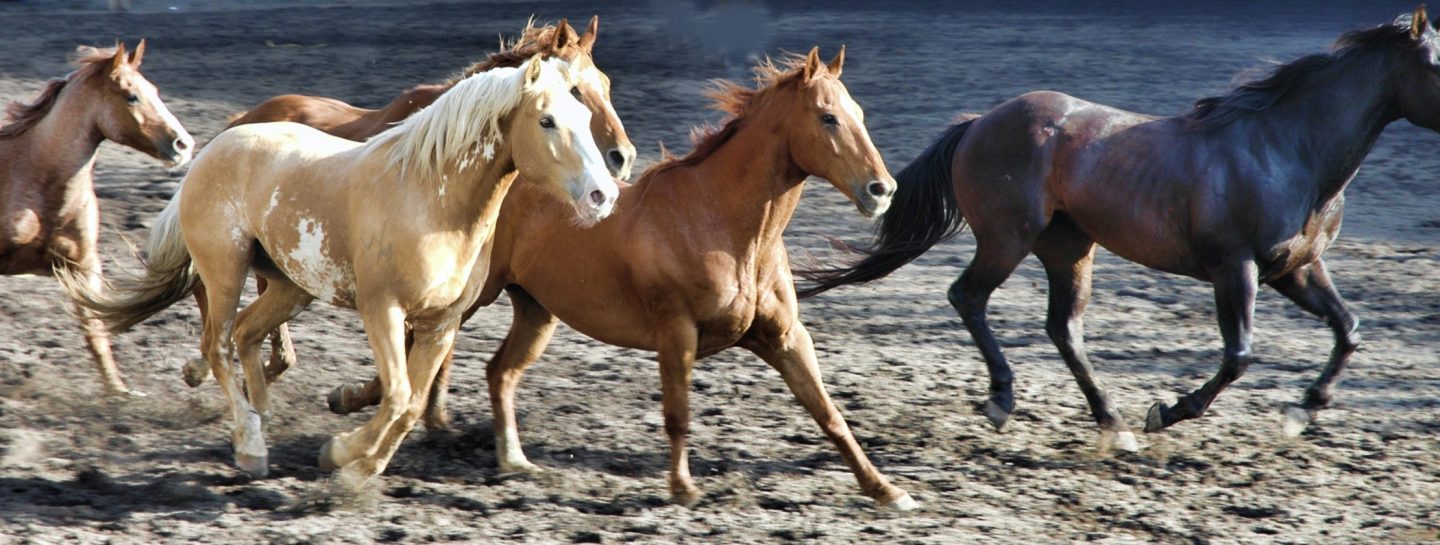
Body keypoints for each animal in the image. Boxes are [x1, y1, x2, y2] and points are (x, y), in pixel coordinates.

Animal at [0, 41, 193, 395]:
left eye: (155, 90)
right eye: (131, 96)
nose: (184, 144)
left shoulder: (83, 266)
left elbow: (96, 332)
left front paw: (119, 390)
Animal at [59, 56, 619, 484]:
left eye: (583, 112)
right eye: (546, 121)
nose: (603, 195)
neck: (431, 197)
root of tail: (212, 148)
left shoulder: (441, 323)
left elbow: (412, 405)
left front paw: (358, 466)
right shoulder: (383, 310)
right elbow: (397, 395)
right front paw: (343, 454)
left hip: (290, 287)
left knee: (246, 334)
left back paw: (264, 419)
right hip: (226, 271)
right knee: (217, 347)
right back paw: (251, 446)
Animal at [327, 48, 918, 510]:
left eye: (857, 112)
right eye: (827, 118)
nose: (881, 190)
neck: (722, 223)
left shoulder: (785, 337)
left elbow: (829, 414)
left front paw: (886, 490)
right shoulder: (676, 332)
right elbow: (678, 414)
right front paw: (683, 489)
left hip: (536, 310)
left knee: (498, 372)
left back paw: (514, 461)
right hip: (472, 300)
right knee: (412, 356)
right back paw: (349, 407)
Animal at [798, 6, 1440, 451]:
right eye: (1437, 64)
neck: (1285, 148)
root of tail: (979, 122)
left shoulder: (1296, 268)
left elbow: (1348, 329)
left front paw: (1302, 410)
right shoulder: (1235, 268)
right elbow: (1239, 355)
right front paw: (1168, 412)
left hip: (1069, 249)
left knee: (1064, 330)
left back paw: (1112, 423)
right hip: (1008, 239)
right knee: (969, 297)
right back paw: (1005, 401)